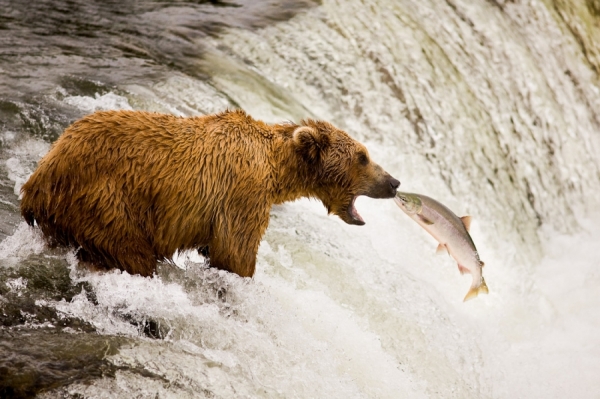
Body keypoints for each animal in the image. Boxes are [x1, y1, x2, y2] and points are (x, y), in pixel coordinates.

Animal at [21, 109, 400, 278]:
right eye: (363, 156)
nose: (394, 182)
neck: (276, 170)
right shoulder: (243, 193)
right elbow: (235, 252)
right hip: (104, 198)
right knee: (132, 251)